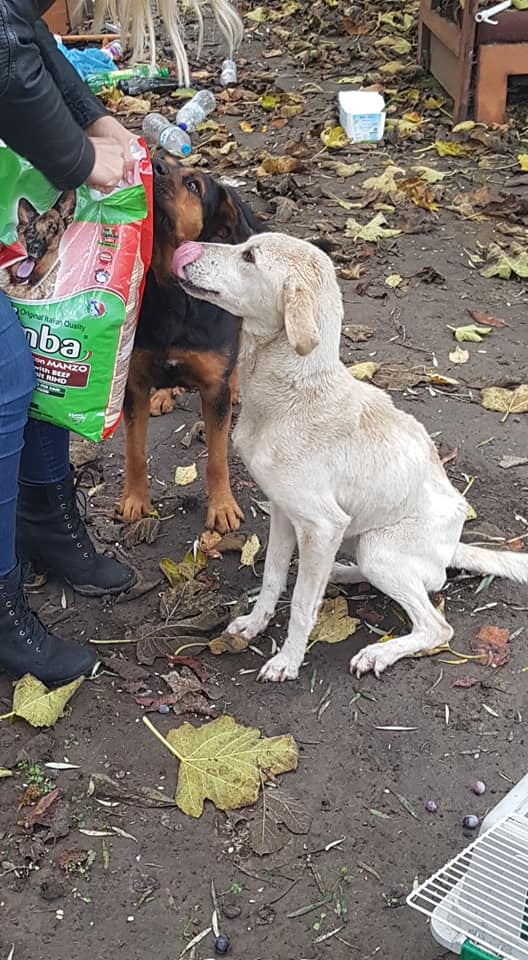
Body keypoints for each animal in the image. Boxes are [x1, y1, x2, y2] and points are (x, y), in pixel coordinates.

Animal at [120, 153, 265, 533]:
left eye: (193, 185)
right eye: (161, 157)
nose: (153, 162)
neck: (173, 292)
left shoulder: (213, 393)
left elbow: (217, 458)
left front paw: (222, 507)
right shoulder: (133, 384)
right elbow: (135, 451)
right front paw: (135, 499)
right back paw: (165, 393)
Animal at [173, 232, 528, 681]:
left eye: (249, 256)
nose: (186, 248)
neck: (292, 393)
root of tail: (451, 548)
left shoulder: (322, 526)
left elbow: (302, 605)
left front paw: (288, 660)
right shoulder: (285, 513)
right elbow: (272, 577)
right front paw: (255, 623)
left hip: (380, 549)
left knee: (435, 625)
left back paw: (379, 652)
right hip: (359, 541)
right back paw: (341, 573)